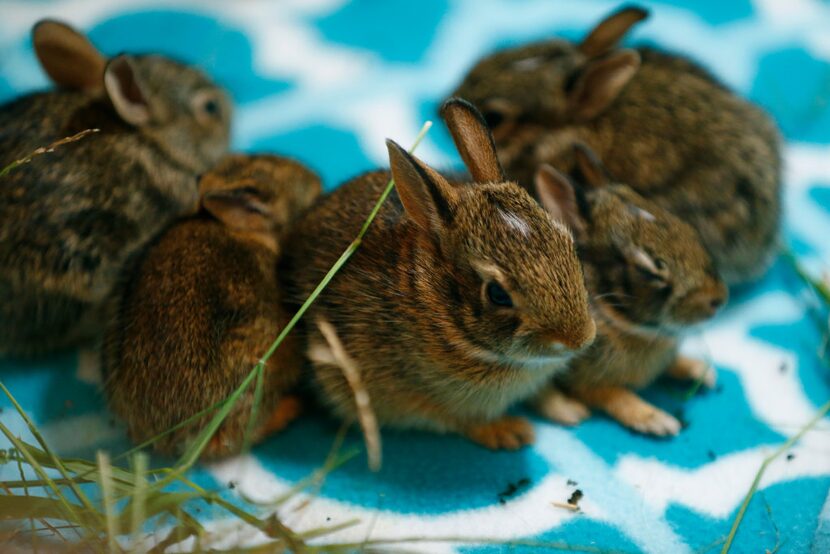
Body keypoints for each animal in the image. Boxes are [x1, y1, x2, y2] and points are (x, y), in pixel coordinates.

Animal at [282, 97, 600, 448]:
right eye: (497, 294)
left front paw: (570, 411)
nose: (580, 339)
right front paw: (510, 431)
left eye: (570, 246)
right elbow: (460, 420)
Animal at [532, 146, 728, 436]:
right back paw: (568, 412)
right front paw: (657, 420)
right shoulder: (585, 379)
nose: (719, 299)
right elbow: (614, 396)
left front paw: (699, 370)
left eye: (686, 227)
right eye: (649, 268)